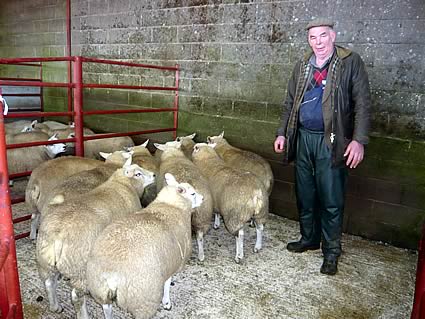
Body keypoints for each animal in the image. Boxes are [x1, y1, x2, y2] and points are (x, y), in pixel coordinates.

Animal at [34, 160, 154, 318]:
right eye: (138, 174)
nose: (154, 175)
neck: (122, 184)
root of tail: (57, 235)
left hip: (45, 260)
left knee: (49, 282)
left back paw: (55, 307)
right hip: (80, 268)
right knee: (76, 296)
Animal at [85, 175, 203, 319]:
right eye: (192, 194)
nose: (203, 198)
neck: (171, 205)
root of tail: (112, 272)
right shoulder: (172, 262)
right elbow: (167, 283)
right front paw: (167, 303)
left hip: (100, 289)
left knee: (106, 308)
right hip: (142, 298)